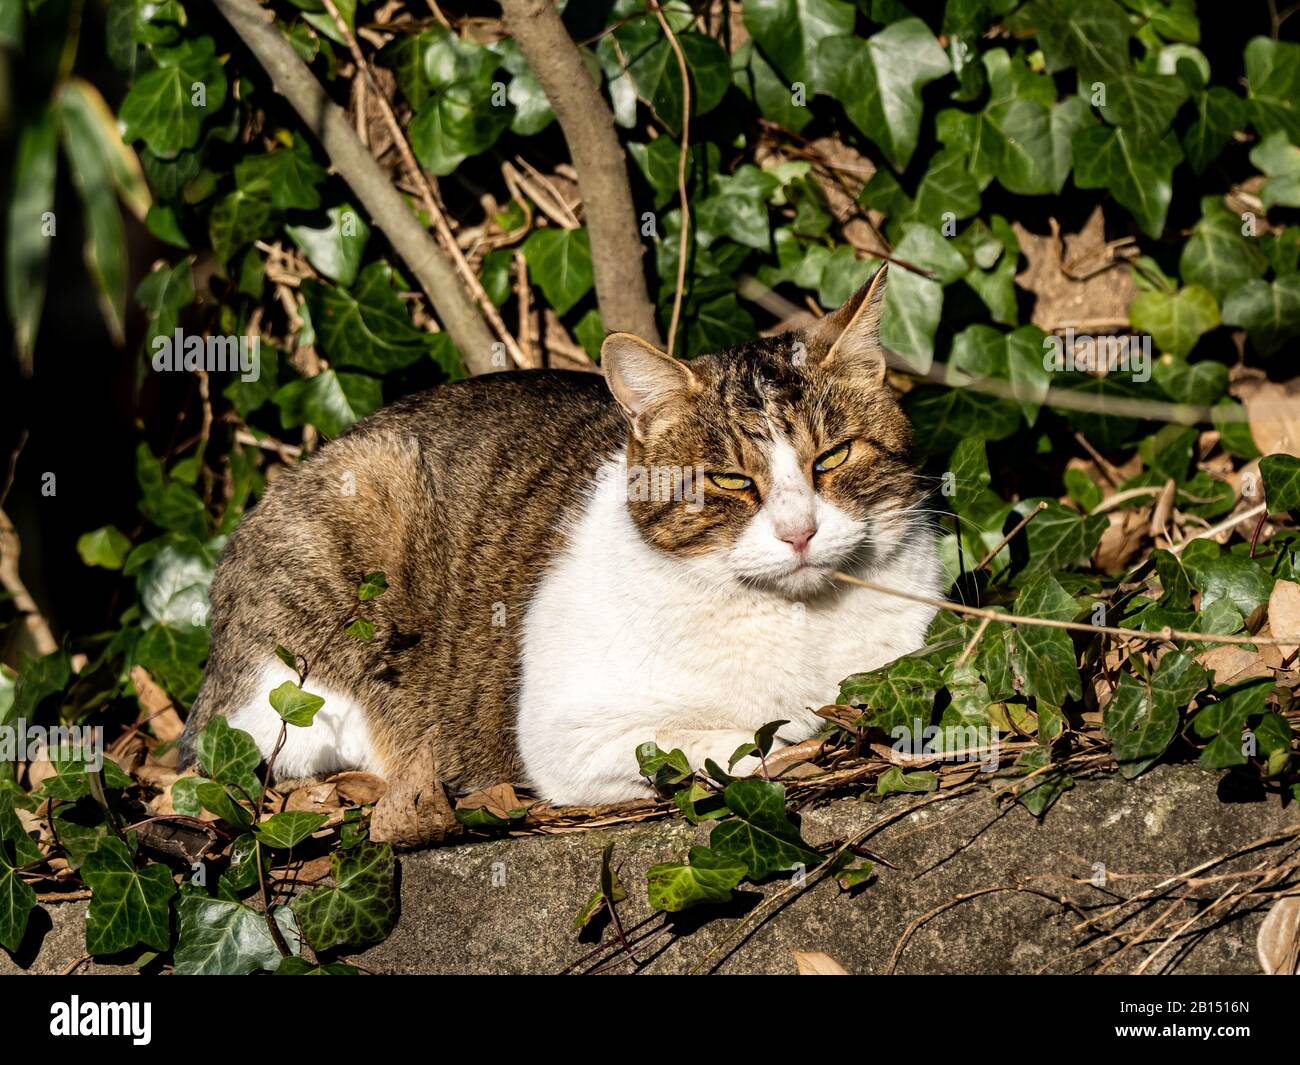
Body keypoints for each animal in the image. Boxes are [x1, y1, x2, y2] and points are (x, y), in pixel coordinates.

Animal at [178, 266, 941, 827]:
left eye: (833, 457)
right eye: (730, 480)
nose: (798, 530)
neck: (803, 625)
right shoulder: (570, 736)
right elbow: (742, 737)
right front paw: (793, 733)